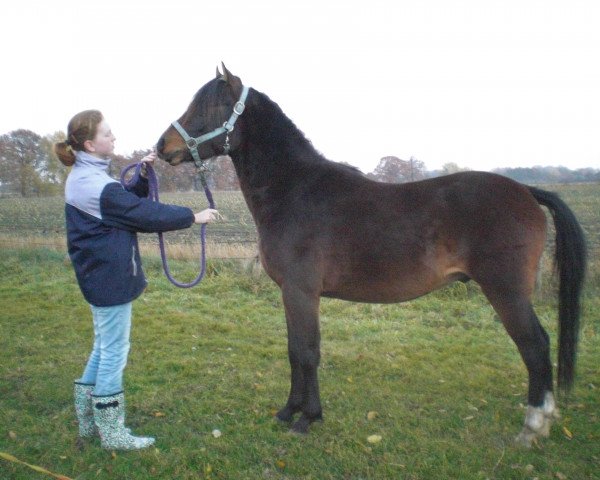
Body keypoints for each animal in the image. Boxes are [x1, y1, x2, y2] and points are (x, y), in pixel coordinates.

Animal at [157, 64, 588, 446]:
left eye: (210, 106)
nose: (162, 146)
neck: (294, 190)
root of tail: (526, 191)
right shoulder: (290, 294)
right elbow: (293, 350)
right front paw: (287, 412)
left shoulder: (301, 291)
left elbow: (307, 352)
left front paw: (307, 419)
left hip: (506, 292)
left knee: (535, 346)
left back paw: (532, 427)